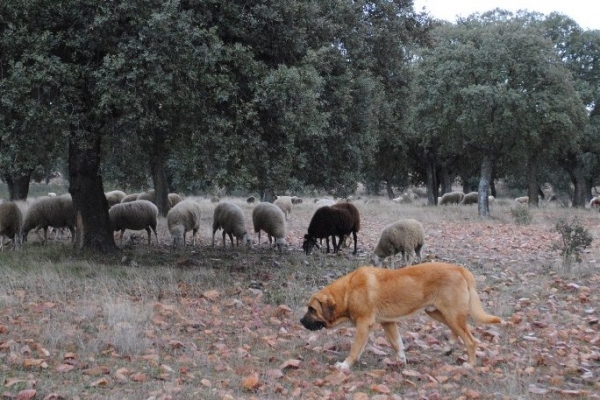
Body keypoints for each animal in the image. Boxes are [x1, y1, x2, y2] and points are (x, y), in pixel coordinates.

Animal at [300, 262, 506, 368]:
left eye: (312, 310)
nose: (300, 321)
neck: (347, 292)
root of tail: (460, 269)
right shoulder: (389, 323)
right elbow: (397, 343)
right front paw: (401, 361)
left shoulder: (364, 325)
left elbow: (355, 349)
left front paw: (345, 365)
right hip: (439, 313)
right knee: (457, 332)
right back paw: (448, 347)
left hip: (451, 313)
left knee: (470, 340)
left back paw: (470, 364)